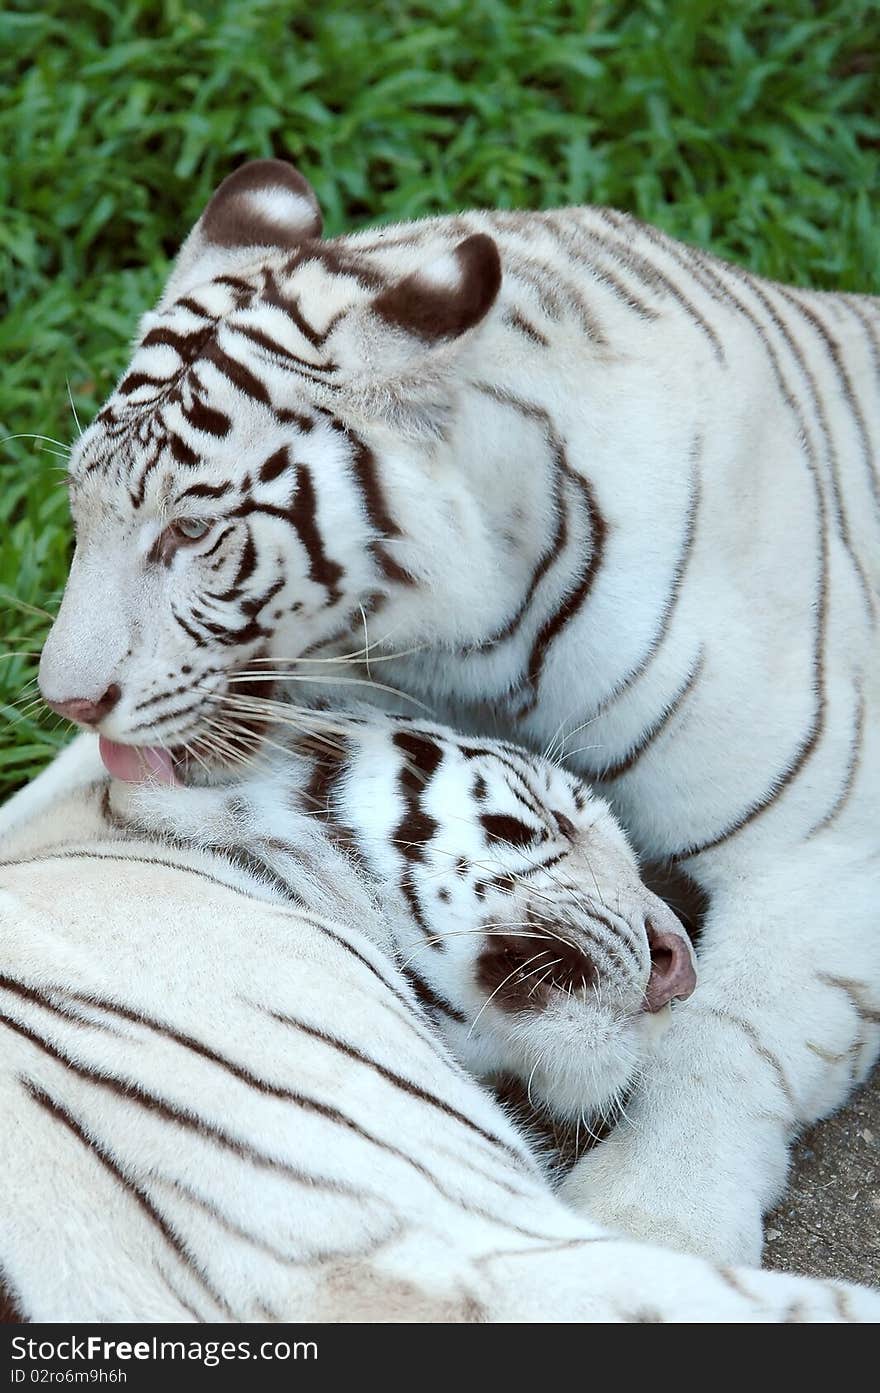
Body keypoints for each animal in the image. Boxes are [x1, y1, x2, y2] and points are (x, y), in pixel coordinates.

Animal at [34, 160, 880, 1264]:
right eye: (80, 508)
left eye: (191, 530)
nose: (64, 694)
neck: (469, 636)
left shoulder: (820, 842)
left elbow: (725, 1036)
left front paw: (656, 1219)